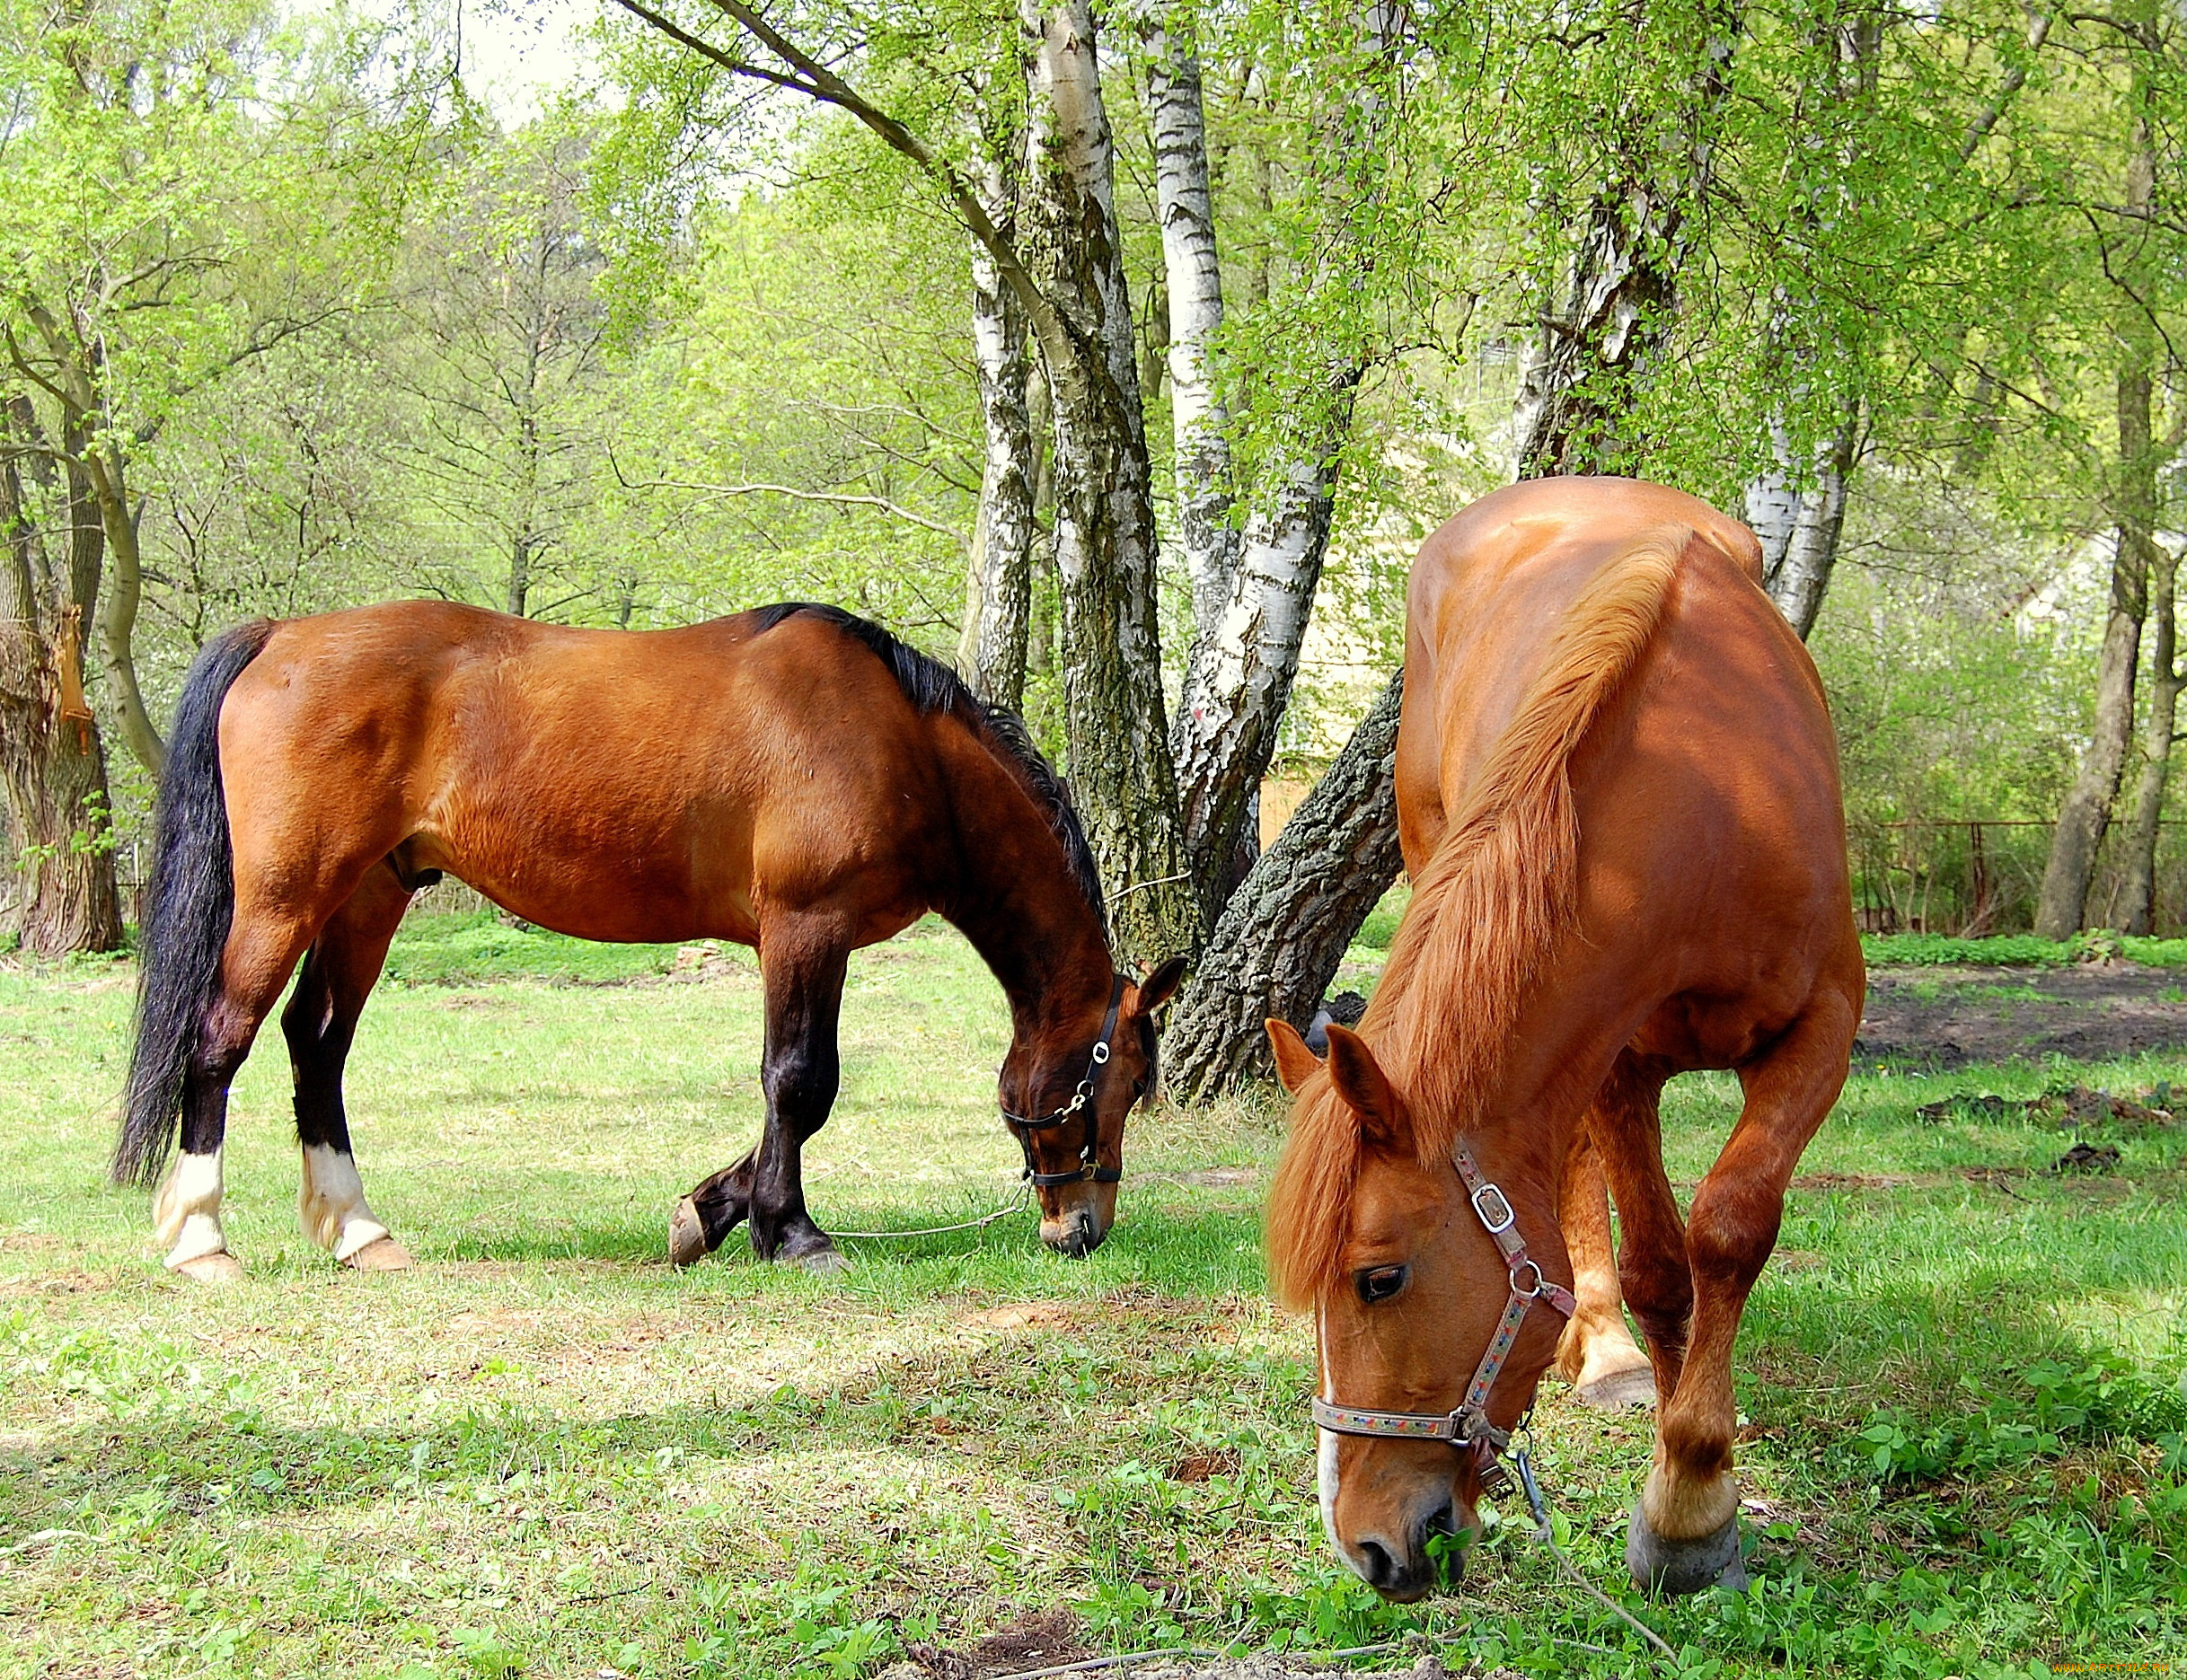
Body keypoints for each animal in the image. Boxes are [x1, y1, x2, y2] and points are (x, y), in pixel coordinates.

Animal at [113, 599, 1189, 1277]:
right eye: (1124, 1082)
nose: (1081, 1227)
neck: (901, 742)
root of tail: (279, 635)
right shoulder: (806, 927)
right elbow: (801, 1082)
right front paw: (789, 1232)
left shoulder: (806, 940)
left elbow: (787, 1099)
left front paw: (710, 1211)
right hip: (284, 899)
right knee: (219, 1040)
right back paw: (201, 1239)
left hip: (370, 896)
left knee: (317, 1046)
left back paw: (357, 1230)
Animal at [1268, 477, 1863, 1601]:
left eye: (1377, 1278)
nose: (1364, 1543)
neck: (1707, 806)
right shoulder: (1617, 1054)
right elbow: (1658, 1268)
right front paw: (1684, 1483)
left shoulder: (1823, 1026)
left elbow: (1728, 1226)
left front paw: (1689, 1497)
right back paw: (1608, 1351)